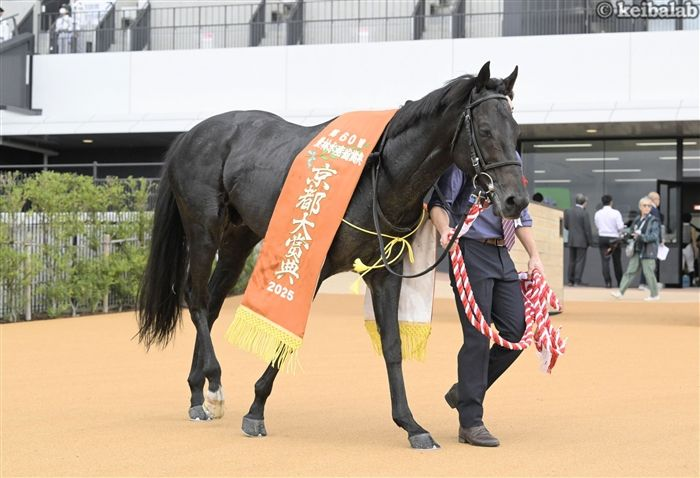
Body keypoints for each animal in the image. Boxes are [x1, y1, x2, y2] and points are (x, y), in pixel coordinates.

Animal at [137, 61, 527, 449]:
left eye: (516, 131)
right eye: (486, 131)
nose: (516, 200)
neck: (378, 176)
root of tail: (189, 136)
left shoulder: (384, 273)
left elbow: (392, 345)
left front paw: (411, 424)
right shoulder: (313, 265)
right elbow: (287, 337)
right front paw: (256, 409)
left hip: (238, 237)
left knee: (214, 303)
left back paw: (197, 393)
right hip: (203, 229)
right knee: (196, 299)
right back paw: (214, 385)